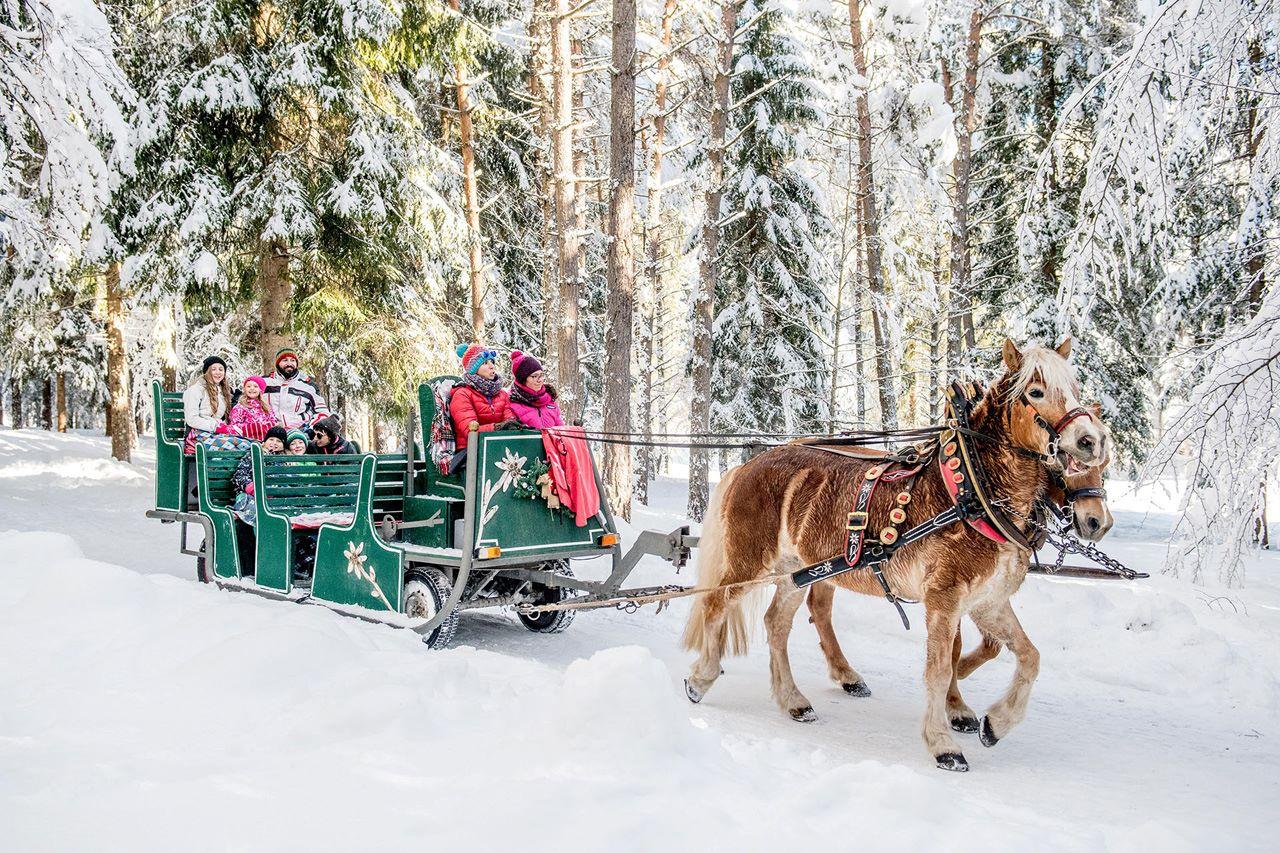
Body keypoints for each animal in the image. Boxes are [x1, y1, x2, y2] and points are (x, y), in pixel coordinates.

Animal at [680, 338, 1111, 768]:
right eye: (1036, 391)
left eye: (1074, 387)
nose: (1089, 440)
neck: (971, 490)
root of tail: (751, 462)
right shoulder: (944, 598)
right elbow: (939, 668)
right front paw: (943, 742)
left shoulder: (987, 600)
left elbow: (1028, 656)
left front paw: (996, 723)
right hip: (751, 561)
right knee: (717, 605)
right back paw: (701, 678)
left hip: (796, 571)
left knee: (777, 624)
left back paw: (793, 700)